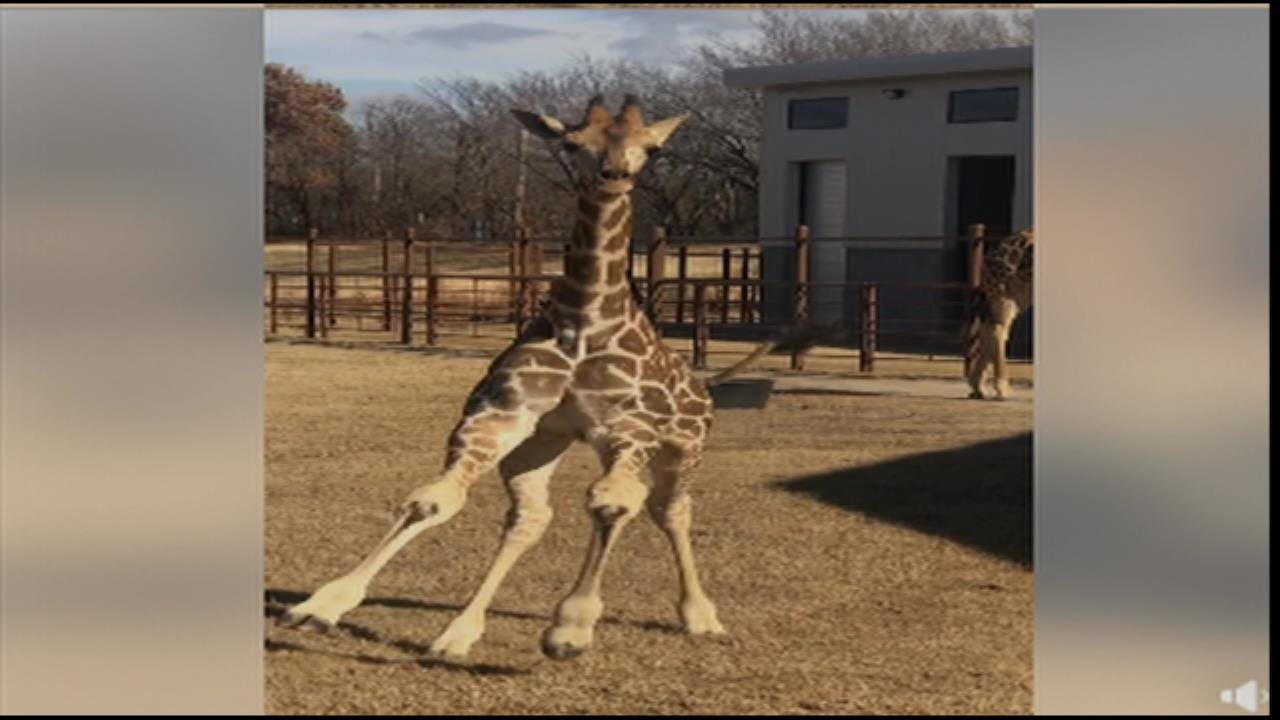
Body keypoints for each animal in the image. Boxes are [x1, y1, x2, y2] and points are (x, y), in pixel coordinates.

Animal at [279, 95, 726, 661]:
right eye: (571, 144)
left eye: (653, 148)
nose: (614, 175)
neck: (583, 320)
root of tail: (702, 391)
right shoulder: (500, 416)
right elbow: (431, 500)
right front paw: (324, 604)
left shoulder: (629, 430)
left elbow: (611, 504)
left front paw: (571, 628)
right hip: (538, 446)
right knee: (530, 519)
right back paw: (458, 632)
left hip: (683, 447)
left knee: (669, 510)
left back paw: (701, 616)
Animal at [965, 228, 1034, 400]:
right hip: (1007, 289)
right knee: (998, 327)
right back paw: (1003, 390)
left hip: (1018, 293)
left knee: (990, 325)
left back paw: (978, 389)